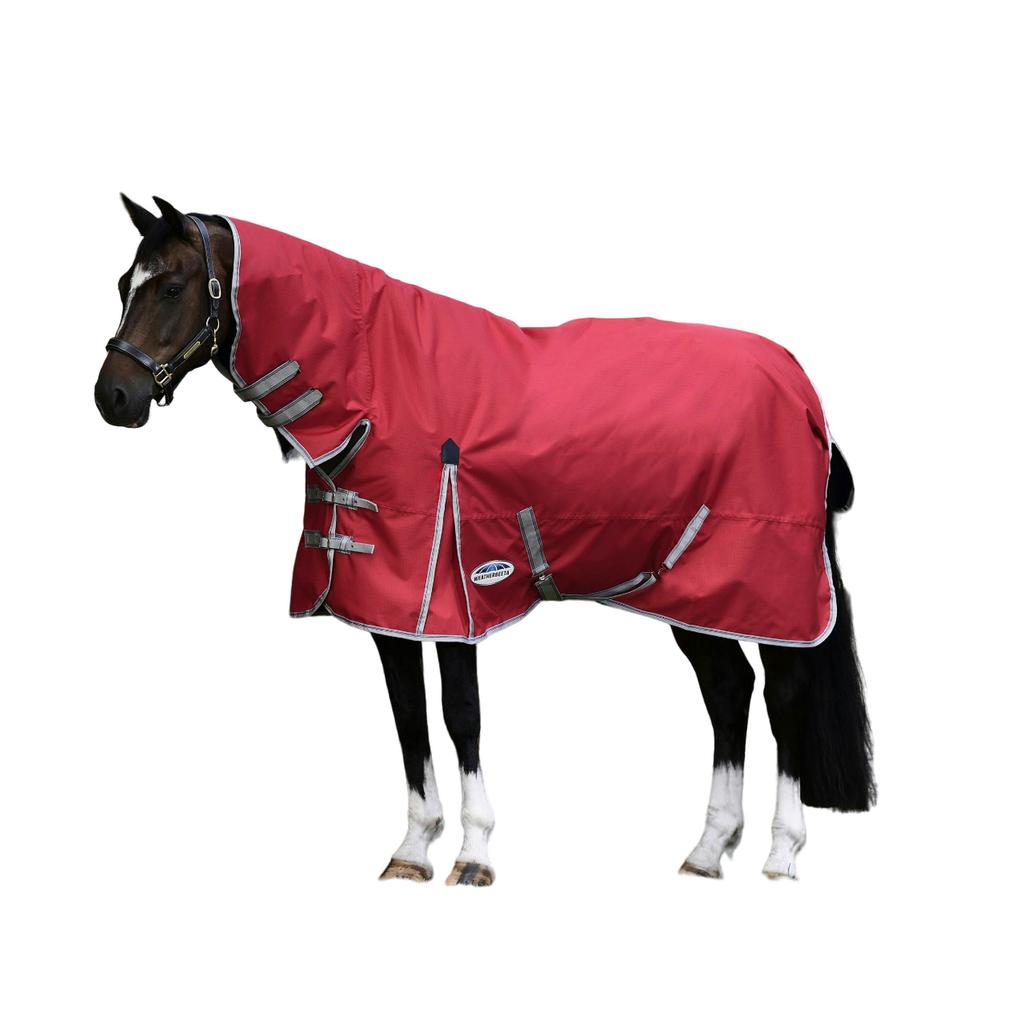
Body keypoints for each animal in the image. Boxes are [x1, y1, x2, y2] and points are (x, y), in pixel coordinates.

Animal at [95, 195, 874, 885]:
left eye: (171, 285)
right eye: (122, 284)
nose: (113, 398)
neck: (379, 388)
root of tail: (802, 390)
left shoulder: (453, 593)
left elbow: (460, 717)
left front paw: (473, 854)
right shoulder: (390, 608)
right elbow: (409, 719)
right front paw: (412, 850)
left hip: (770, 588)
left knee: (786, 697)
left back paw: (780, 855)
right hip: (691, 590)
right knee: (728, 690)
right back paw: (708, 852)